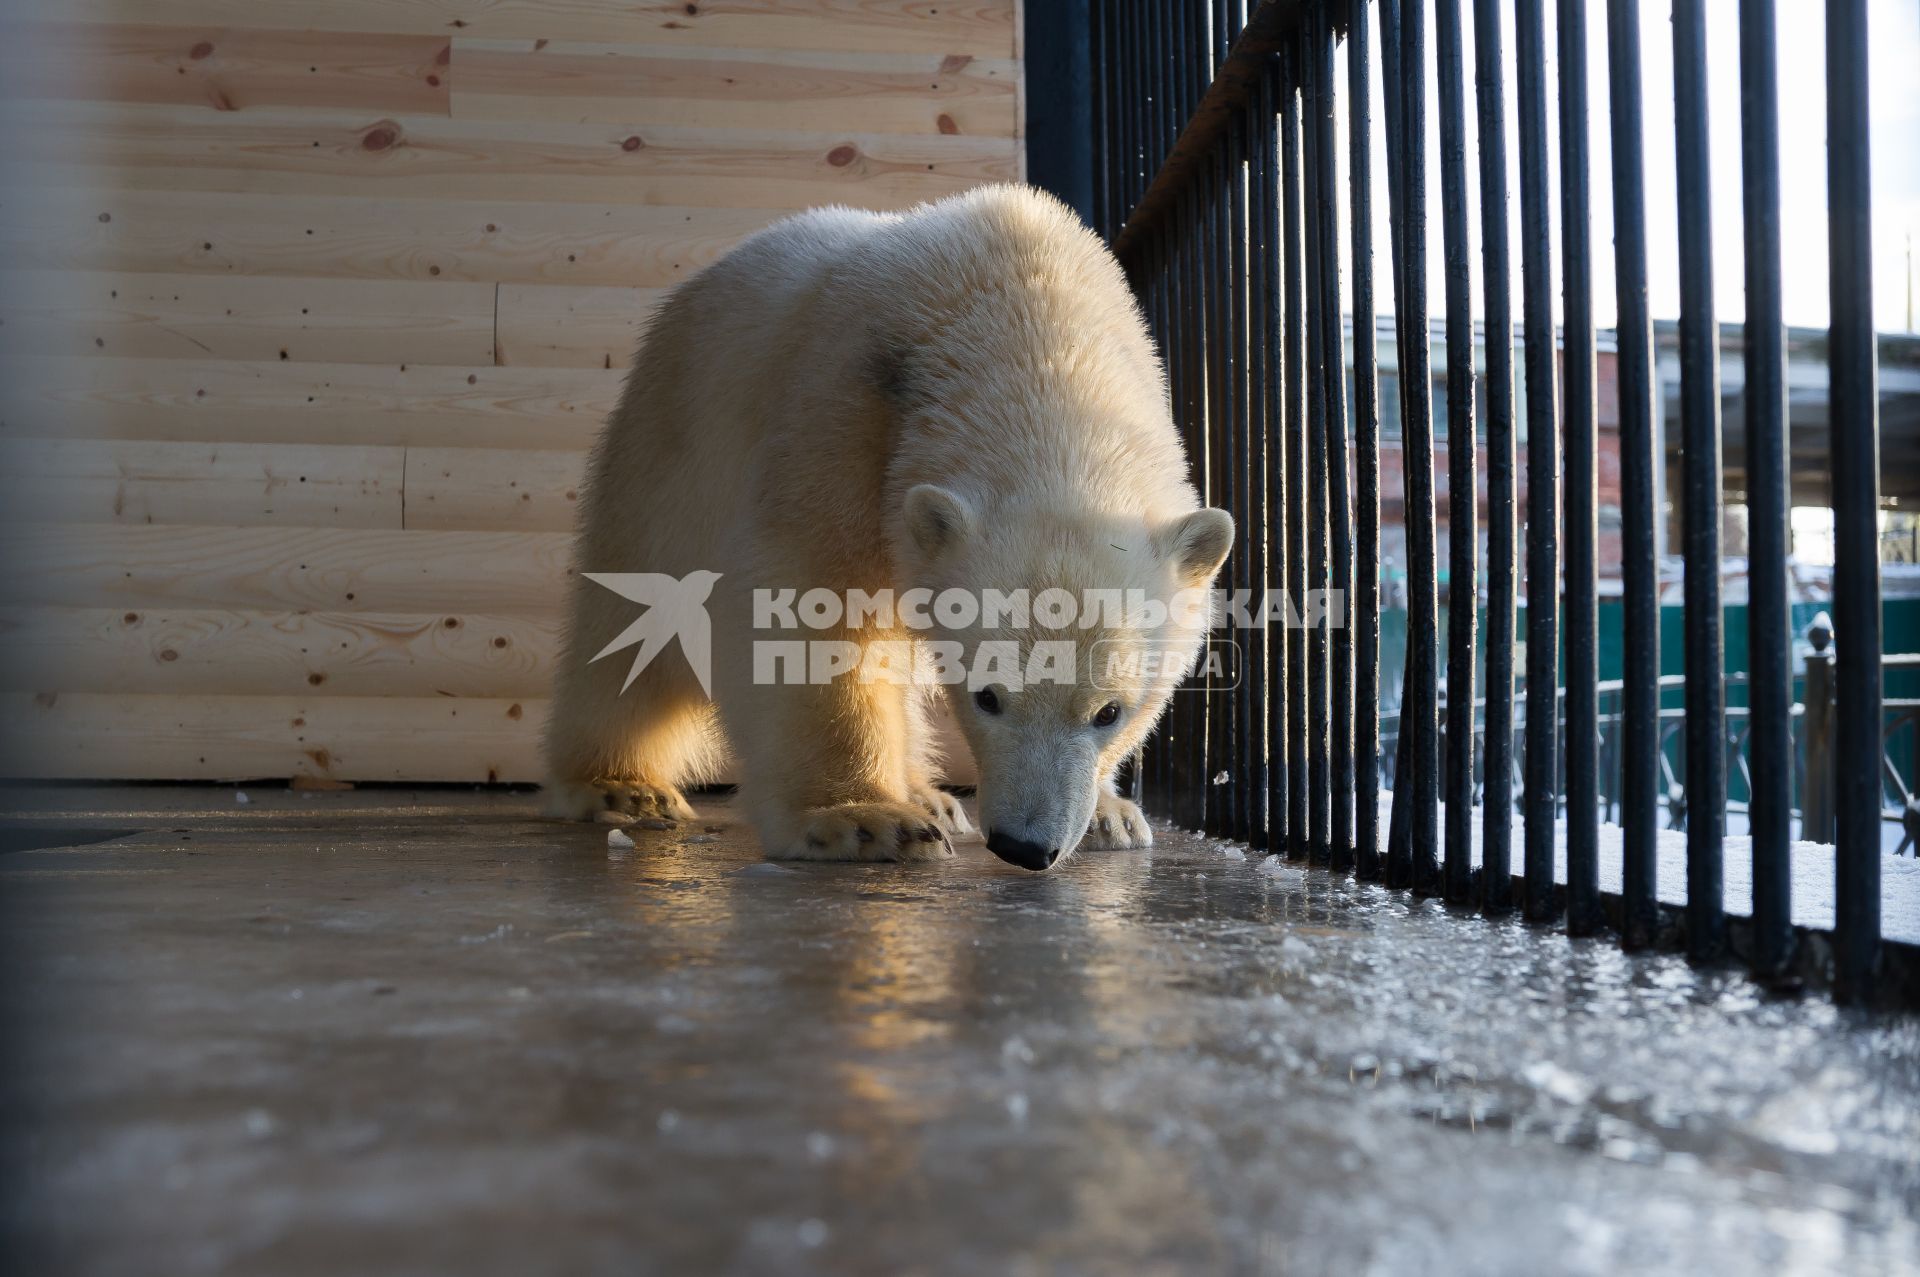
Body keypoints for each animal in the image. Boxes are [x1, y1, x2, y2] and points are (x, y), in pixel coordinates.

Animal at [541, 184, 1228, 871]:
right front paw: (860, 819)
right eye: (986, 695)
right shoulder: (844, 415)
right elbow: (812, 602)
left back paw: (930, 795)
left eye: (1110, 711)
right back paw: (621, 787)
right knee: (639, 629)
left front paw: (1113, 816)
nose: (1026, 847)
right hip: (668, 453)